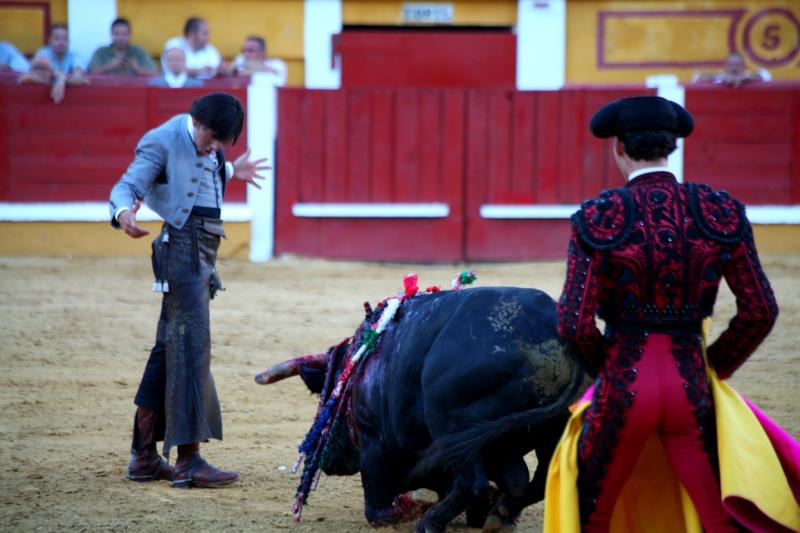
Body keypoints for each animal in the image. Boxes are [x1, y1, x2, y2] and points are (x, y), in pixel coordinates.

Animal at [256, 288, 588, 528]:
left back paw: (430, 522)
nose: (329, 460)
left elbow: (377, 506)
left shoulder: (373, 441)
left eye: (325, 399)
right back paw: (500, 513)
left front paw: (412, 508)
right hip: (550, 431)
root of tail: (559, 347)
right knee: (540, 479)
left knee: (473, 482)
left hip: (449, 421)